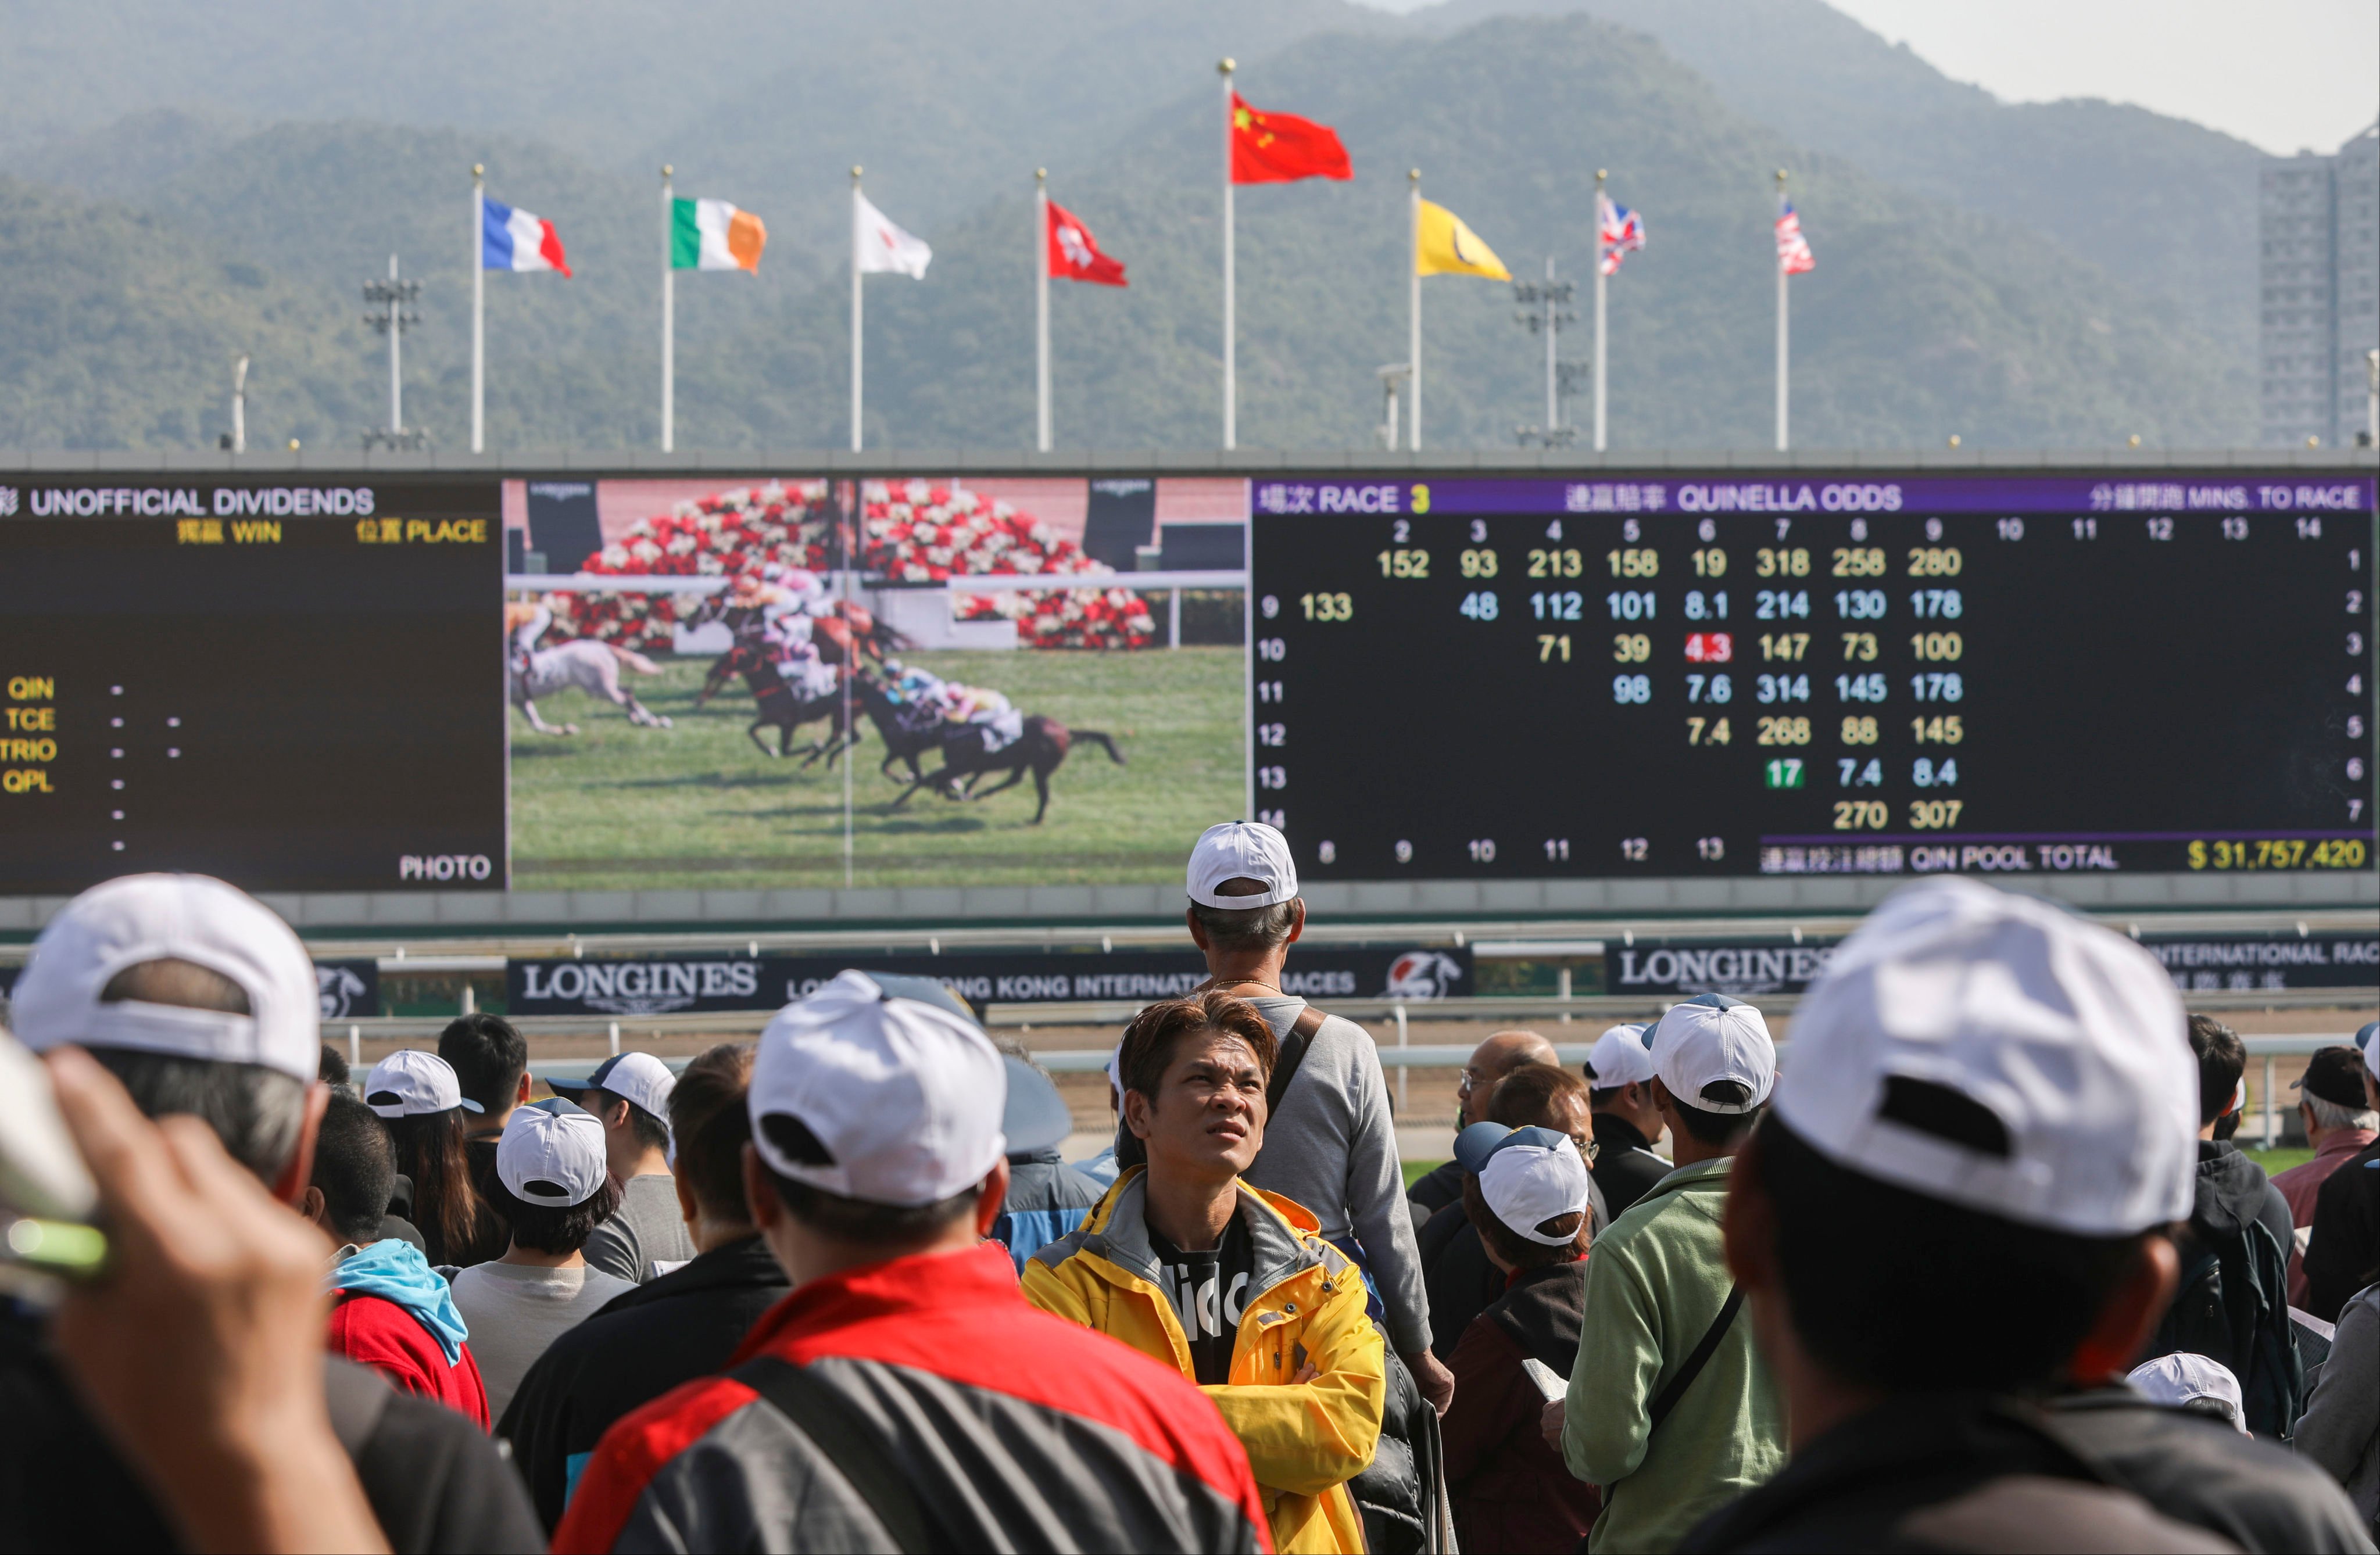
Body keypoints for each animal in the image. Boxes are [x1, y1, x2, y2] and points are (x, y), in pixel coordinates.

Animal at [514, 628, 671, 733]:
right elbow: (536, 724)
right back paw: (642, 719)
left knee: (626, 697)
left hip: (599, 688)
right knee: (627, 692)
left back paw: (650, 721)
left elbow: (536, 724)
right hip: (604, 685)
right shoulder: (521, 700)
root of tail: (604, 647)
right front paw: (567, 730)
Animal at [695, 638, 861, 762]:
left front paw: (814, 746)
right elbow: (752, 730)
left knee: (849, 737)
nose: (711, 672)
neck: (773, 688)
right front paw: (770, 750)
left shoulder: (788, 724)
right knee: (850, 737)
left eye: (727, 657)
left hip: (841, 714)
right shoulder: (771, 719)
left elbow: (785, 749)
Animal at [890, 710, 1128, 819]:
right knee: (1015, 779)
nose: (898, 740)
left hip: (1040, 767)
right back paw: (981, 794)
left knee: (1039, 790)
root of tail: (1065, 731)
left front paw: (898, 801)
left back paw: (1035, 819)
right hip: (1024, 762)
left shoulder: (962, 766)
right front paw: (952, 792)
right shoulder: (963, 767)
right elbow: (939, 778)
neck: (953, 731)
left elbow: (930, 778)